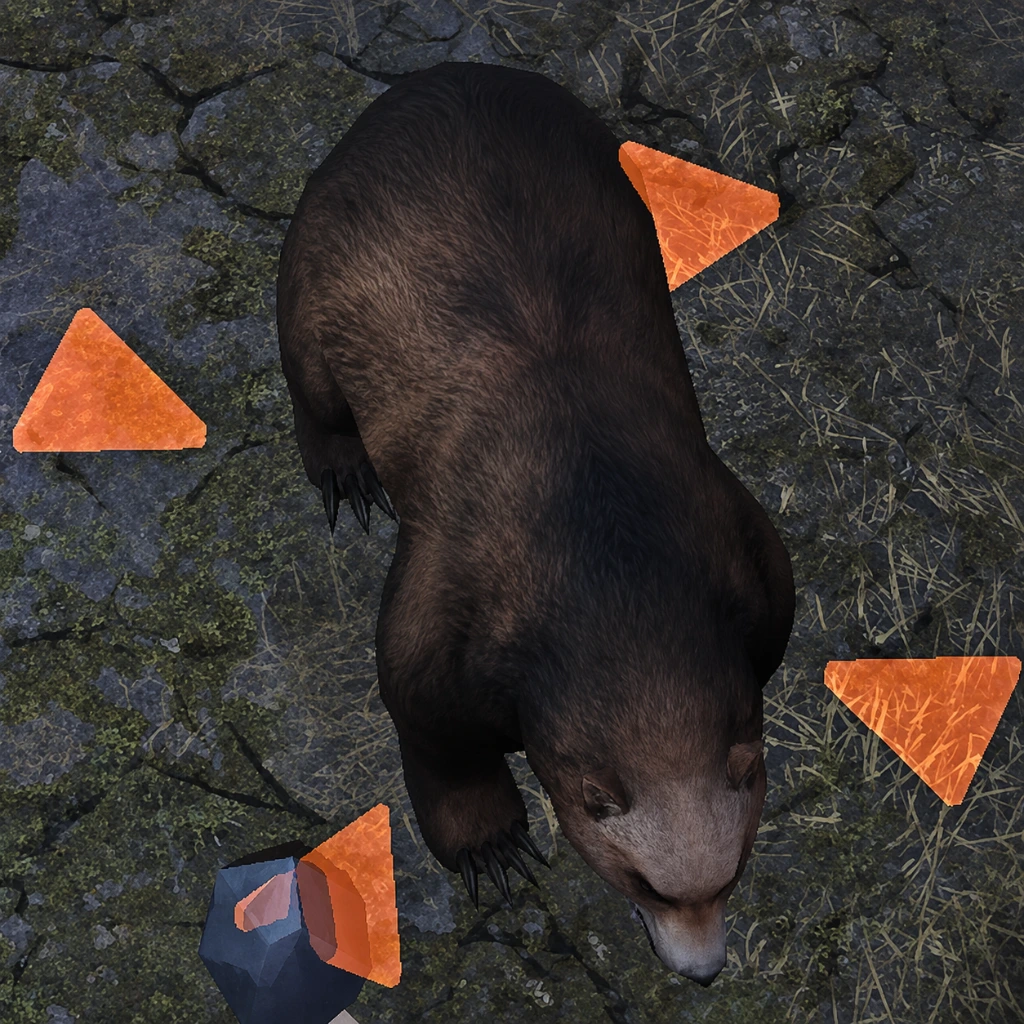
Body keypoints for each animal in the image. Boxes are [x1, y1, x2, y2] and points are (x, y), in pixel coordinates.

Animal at [276, 61, 796, 986]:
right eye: (645, 882)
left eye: (731, 870)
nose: (701, 971)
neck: (613, 563)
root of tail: (443, 75)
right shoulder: (454, 590)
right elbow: (426, 716)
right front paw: (490, 843)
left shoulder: (739, 550)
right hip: (314, 266)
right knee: (313, 380)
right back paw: (344, 467)